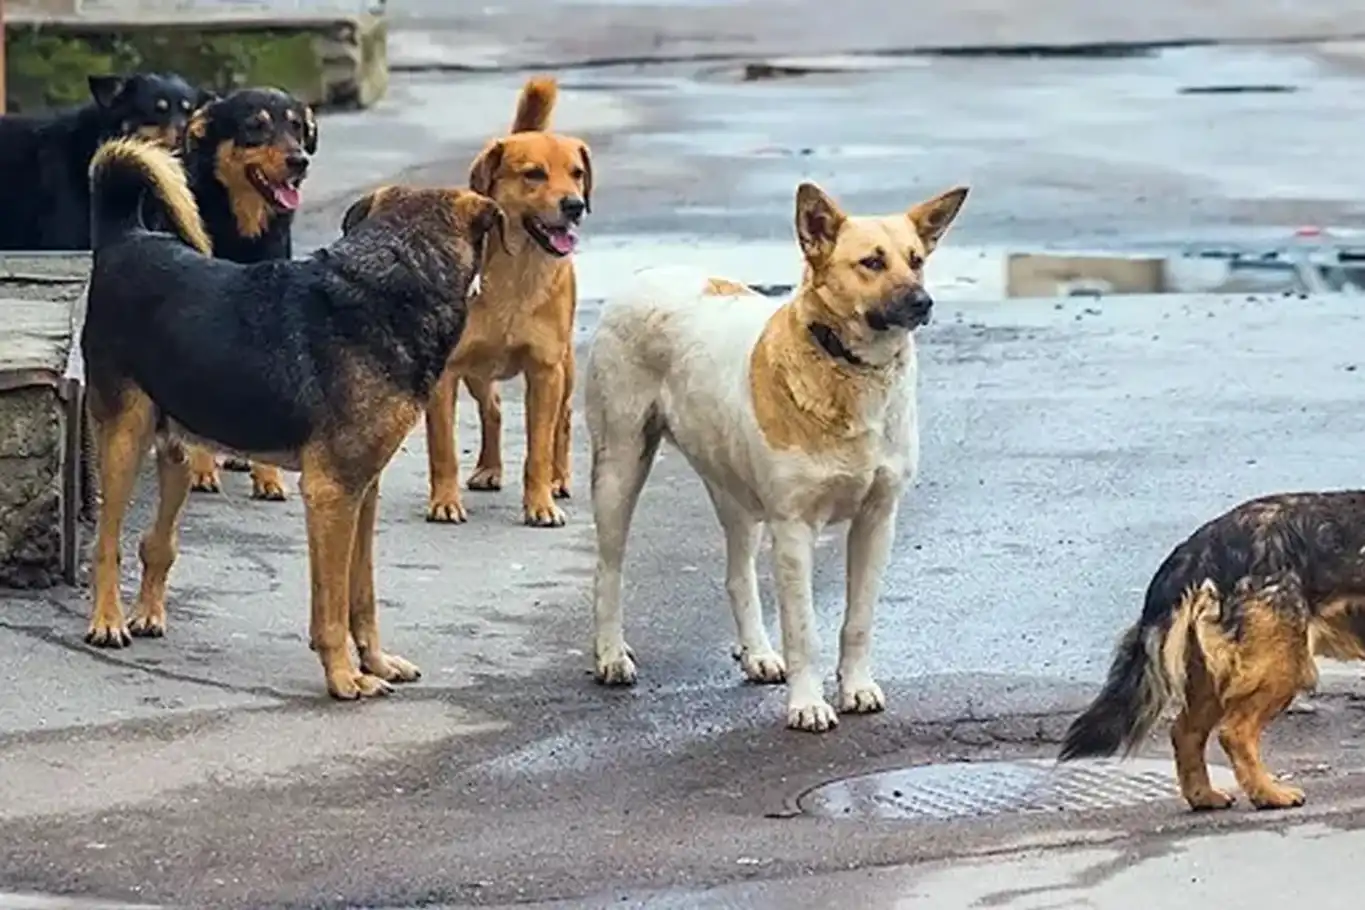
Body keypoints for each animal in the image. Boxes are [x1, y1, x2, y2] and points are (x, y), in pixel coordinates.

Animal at [420, 75, 592, 529]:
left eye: (577, 174)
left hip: (565, 368)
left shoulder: (545, 371)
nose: (575, 205)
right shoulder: (446, 373)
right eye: (533, 174)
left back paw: (559, 478)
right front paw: (445, 501)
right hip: (478, 372)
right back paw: (489, 468)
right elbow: (443, 448)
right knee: (493, 409)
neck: (517, 273)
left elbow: (539, 448)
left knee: (564, 420)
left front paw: (540, 503)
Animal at [581, 180, 966, 731]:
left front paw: (856, 686)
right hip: (619, 468)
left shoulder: (877, 520)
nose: (923, 301)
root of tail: (647, 274)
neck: (847, 367)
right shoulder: (794, 528)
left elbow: (859, 620)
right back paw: (611, 655)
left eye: (916, 260)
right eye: (871, 262)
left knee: (737, 575)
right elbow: (803, 630)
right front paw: (807, 704)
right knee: (608, 570)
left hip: (734, 491)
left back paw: (757, 653)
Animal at [1053, 491, 1365, 813]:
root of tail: (1199, 546)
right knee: (1234, 733)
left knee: (1185, 733)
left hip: (1215, 676)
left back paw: (1203, 796)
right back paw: (1268, 794)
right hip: (1282, 667)